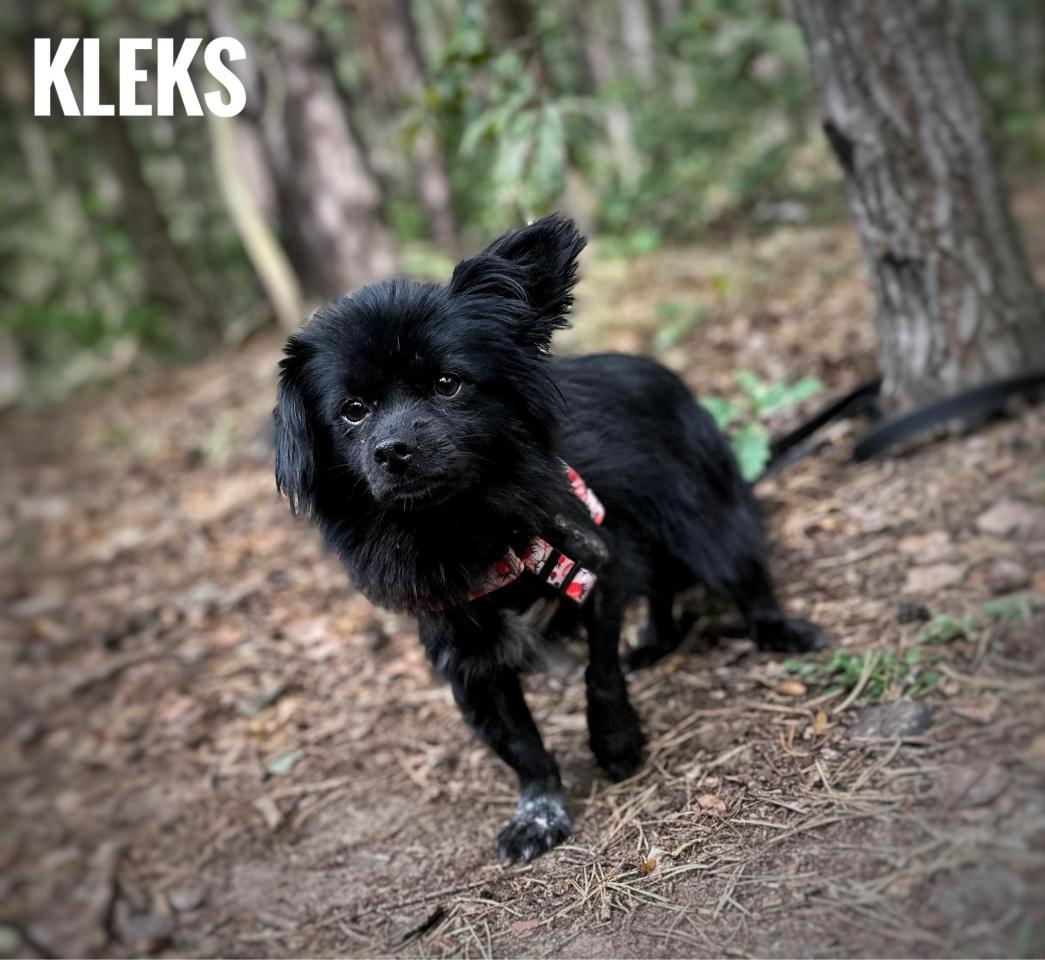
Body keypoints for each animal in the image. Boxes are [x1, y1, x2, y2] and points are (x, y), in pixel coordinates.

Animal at [274, 214, 824, 863]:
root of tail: (662, 372)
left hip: (701, 523)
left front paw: (616, 745)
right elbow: (522, 749)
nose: (393, 450)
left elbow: (599, 677)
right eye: (353, 411)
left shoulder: (593, 565)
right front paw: (539, 812)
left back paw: (775, 629)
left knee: (740, 572)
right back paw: (656, 642)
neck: (461, 527)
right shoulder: (470, 665)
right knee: (661, 583)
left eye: (447, 385)